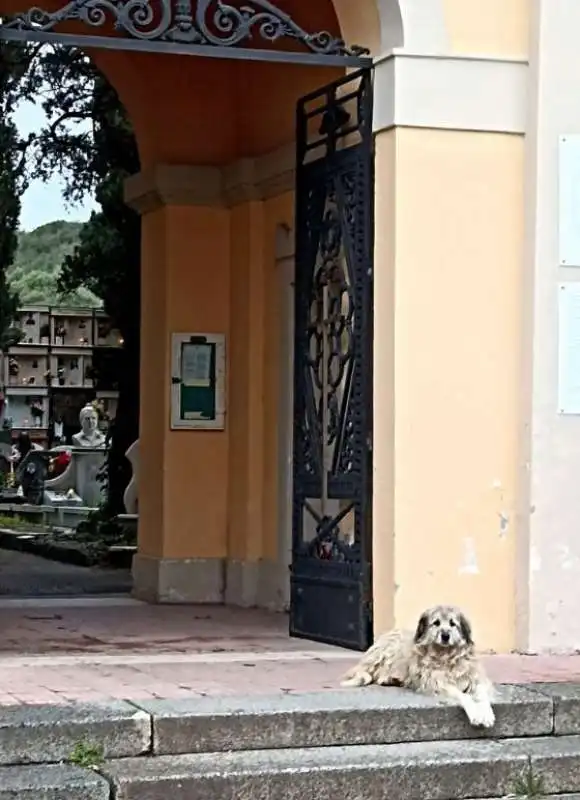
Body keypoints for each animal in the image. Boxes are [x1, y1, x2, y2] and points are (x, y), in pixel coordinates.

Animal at [342, 608, 496, 732]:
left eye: (453, 623)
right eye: (436, 623)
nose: (445, 636)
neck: (447, 656)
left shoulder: (476, 680)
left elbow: (482, 695)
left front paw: (487, 715)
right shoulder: (437, 683)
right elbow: (464, 696)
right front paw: (476, 714)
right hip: (382, 655)